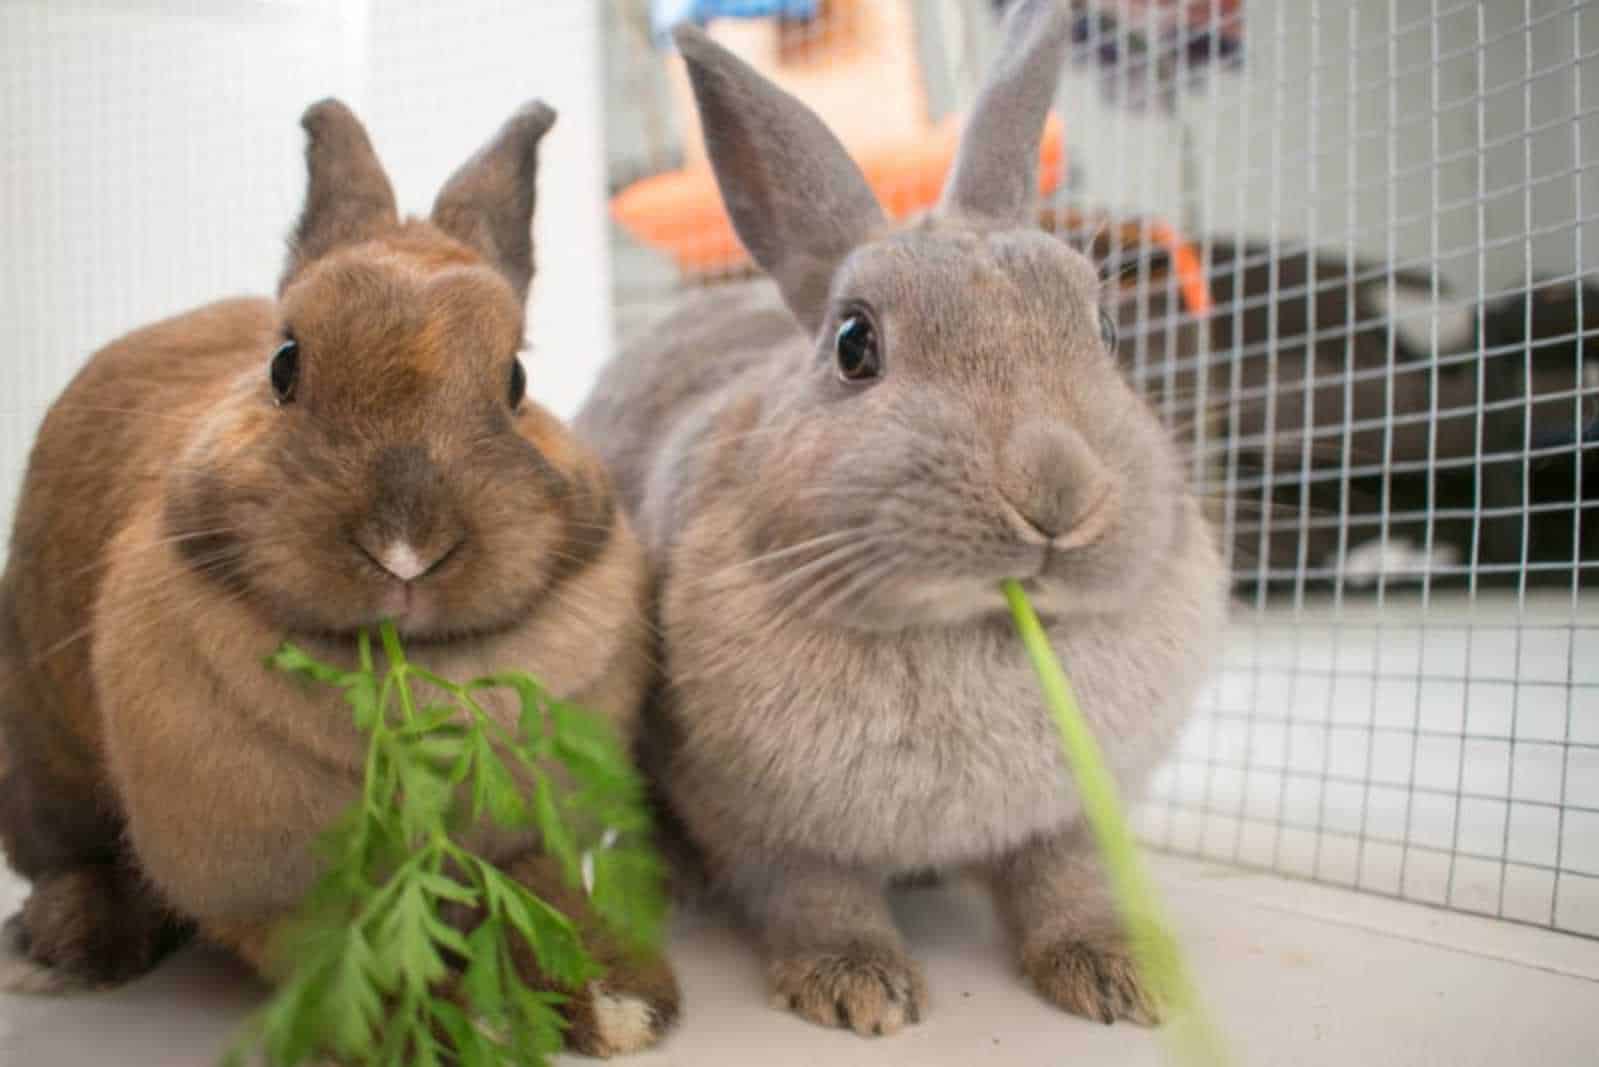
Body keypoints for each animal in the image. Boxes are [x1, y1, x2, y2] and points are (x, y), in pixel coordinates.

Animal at [0, 99, 677, 1062]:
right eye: (285, 363)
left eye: (515, 380)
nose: (404, 546)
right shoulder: (271, 888)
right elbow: (349, 954)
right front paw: (429, 1029)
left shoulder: (534, 831)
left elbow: (549, 894)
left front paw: (623, 1001)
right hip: (42, 752)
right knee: (70, 853)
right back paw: (71, 943)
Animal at [578, 0, 1221, 1036]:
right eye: (853, 344)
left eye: (1107, 331)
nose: (1055, 493)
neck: (976, 627)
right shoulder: (759, 819)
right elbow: (814, 893)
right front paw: (857, 988)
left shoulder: (1073, 813)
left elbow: (1068, 883)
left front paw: (1120, 976)